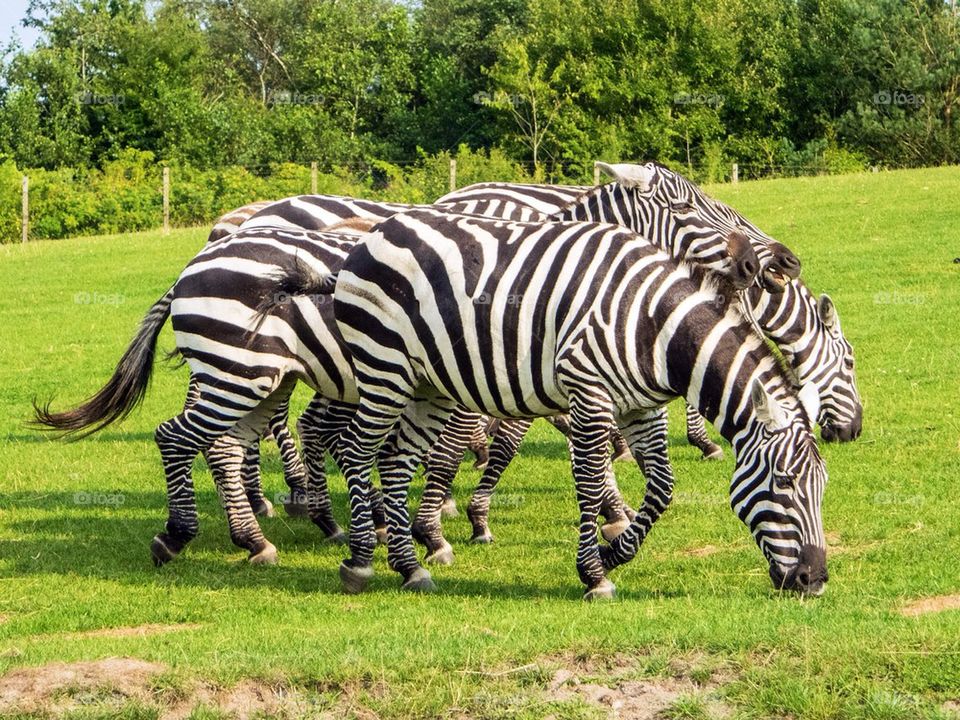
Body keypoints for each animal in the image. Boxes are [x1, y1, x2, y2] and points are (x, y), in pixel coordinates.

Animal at [285, 207, 828, 599]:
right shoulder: (589, 392)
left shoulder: (642, 407)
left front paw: (613, 554)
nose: (815, 580)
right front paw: (594, 574)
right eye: (785, 482)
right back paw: (359, 559)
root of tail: (373, 234)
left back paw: (410, 566)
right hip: (384, 368)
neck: (656, 327)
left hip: (427, 385)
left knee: (395, 461)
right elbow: (589, 483)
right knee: (356, 451)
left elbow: (662, 489)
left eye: (822, 487)